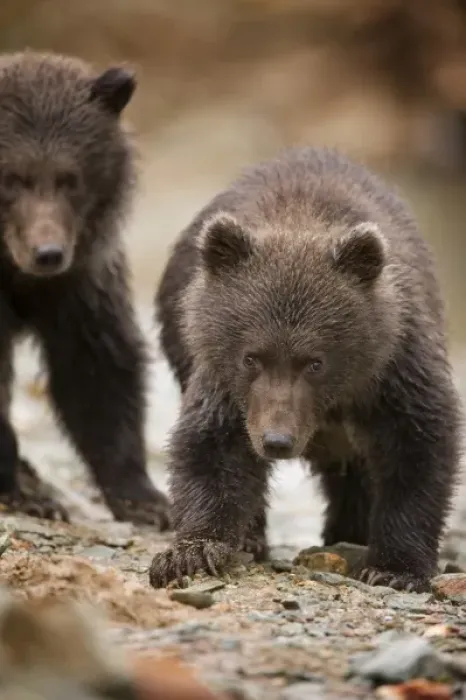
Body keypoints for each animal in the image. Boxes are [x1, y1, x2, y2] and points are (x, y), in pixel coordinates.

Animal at [0, 50, 170, 529]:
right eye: (11, 178)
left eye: (69, 178)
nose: (48, 253)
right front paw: (24, 494)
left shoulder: (80, 283)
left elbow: (97, 369)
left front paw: (143, 497)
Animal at [149, 145, 462, 591]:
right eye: (251, 357)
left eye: (315, 361)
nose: (277, 441)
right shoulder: (224, 382)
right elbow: (212, 448)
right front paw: (192, 552)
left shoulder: (394, 369)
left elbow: (418, 448)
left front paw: (395, 569)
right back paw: (255, 537)